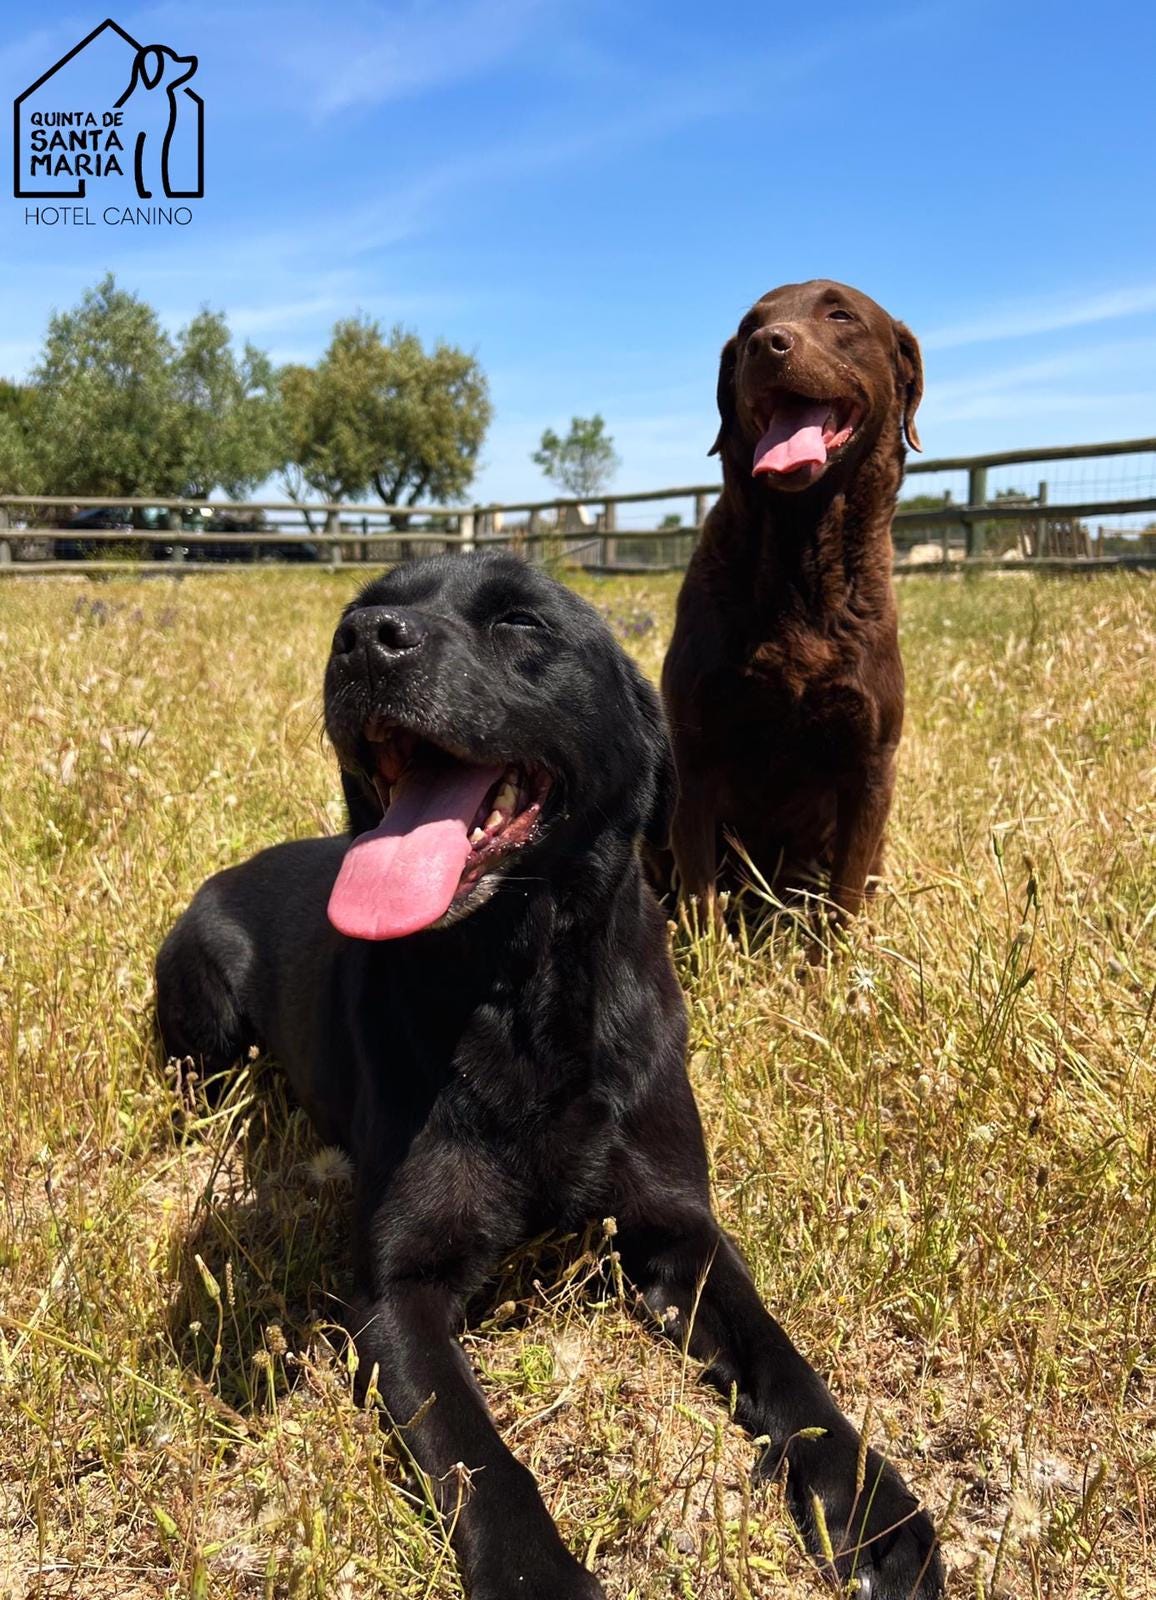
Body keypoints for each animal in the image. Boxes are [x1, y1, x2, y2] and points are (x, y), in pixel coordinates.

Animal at [155, 553, 935, 1600]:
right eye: (363, 607)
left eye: (521, 622)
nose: (361, 641)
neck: (521, 992)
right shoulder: (398, 1291)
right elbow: (479, 1453)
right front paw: (538, 1575)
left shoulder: (679, 1229)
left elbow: (783, 1361)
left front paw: (874, 1508)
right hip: (203, 1018)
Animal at [656, 281, 915, 934]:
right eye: (749, 325)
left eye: (840, 313)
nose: (766, 345)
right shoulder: (695, 751)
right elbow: (700, 893)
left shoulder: (870, 764)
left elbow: (844, 899)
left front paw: (837, 961)